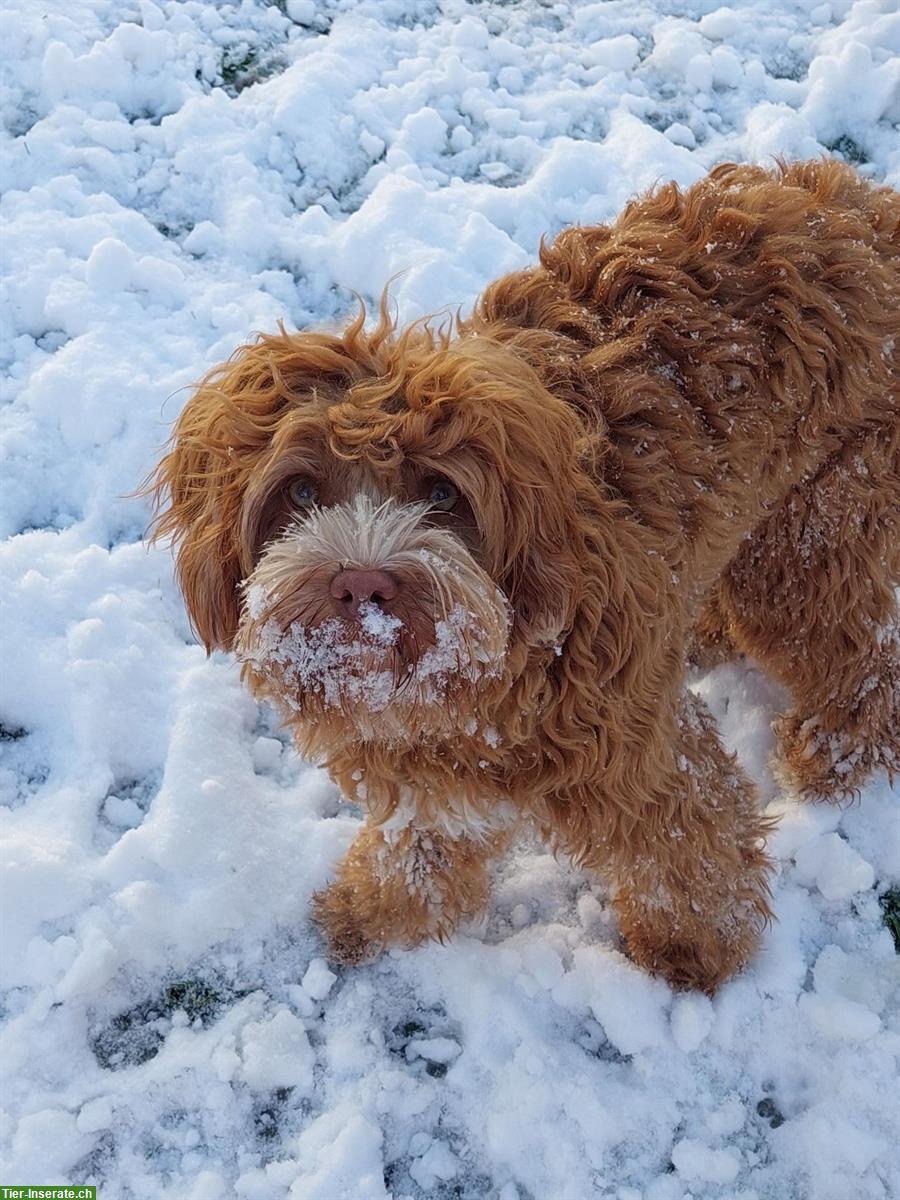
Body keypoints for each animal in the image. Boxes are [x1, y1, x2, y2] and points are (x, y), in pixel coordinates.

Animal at [150, 159, 900, 993]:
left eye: (442, 493)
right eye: (302, 492)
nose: (363, 587)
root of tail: (863, 205)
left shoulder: (630, 745)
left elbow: (683, 837)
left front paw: (694, 948)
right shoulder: (433, 765)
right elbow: (426, 834)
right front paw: (381, 909)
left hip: (812, 529)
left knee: (859, 652)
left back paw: (834, 751)